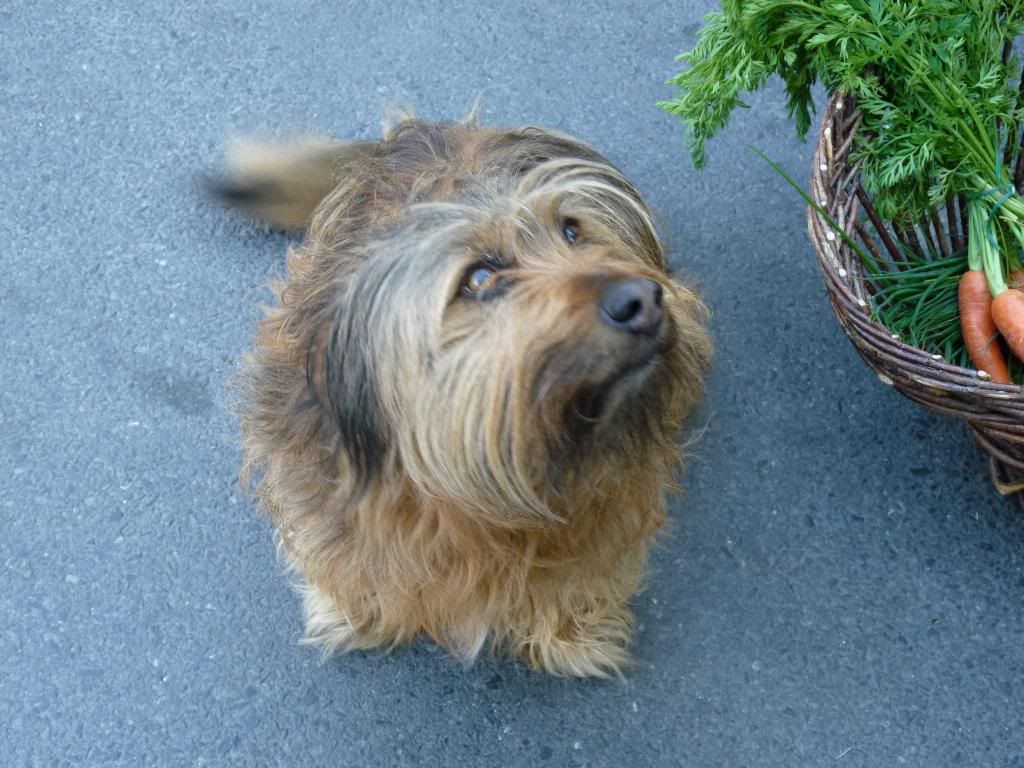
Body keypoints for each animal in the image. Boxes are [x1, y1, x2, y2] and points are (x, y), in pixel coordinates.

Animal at [211, 115, 712, 677]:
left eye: (572, 230)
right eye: (480, 278)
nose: (642, 299)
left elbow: (577, 579)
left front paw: (573, 635)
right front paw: (356, 614)